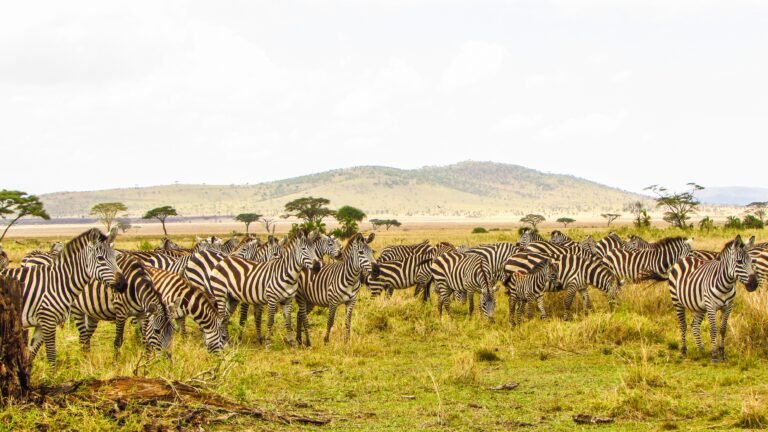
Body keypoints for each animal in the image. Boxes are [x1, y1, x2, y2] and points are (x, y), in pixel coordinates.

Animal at [5, 228, 127, 367]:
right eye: (100, 258)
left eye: (115, 257)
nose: (123, 284)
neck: (57, 282)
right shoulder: (48, 321)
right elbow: (51, 355)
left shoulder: (41, 323)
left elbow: (30, 355)